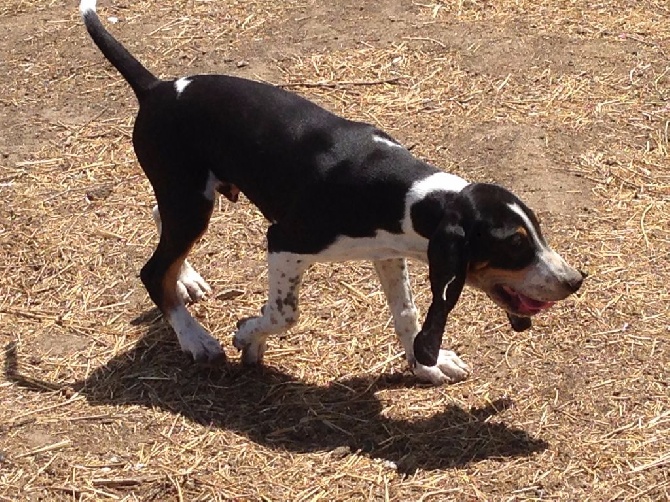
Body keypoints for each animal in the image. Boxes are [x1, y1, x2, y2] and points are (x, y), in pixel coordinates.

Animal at [80, 0, 588, 384]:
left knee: (160, 229)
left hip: (190, 197)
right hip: (190, 202)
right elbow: (283, 314)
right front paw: (247, 336)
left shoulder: (390, 252)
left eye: (537, 230)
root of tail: (156, 88)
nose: (575, 281)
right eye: (514, 245)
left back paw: (186, 280)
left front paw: (426, 364)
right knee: (153, 271)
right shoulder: (285, 242)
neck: (407, 195)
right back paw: (195, 339)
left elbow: (406, 313)